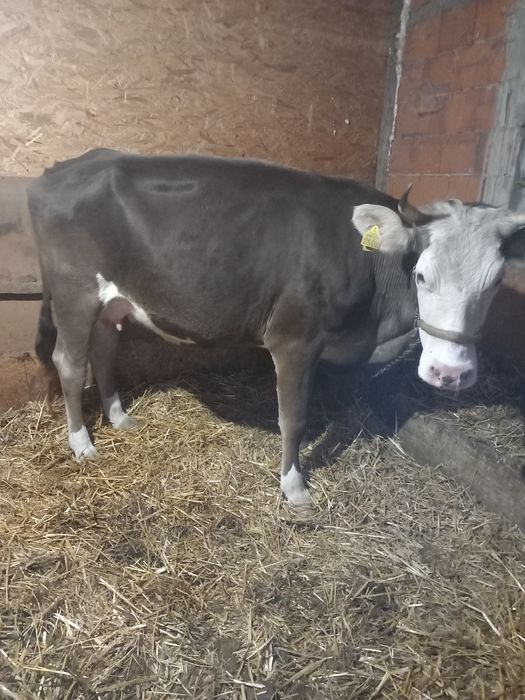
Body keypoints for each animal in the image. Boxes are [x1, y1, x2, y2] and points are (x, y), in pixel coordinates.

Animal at [27, 149, 525, 507]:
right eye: (421, 275)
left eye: (496, 282)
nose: (449, 373)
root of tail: (61, 168)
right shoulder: (294, 338)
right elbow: (294, 416)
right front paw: (294, 487)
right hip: (74, 292)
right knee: (68, 361)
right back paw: (82, 443)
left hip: (112, 299)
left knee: (103, 350)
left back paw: (118, 417)